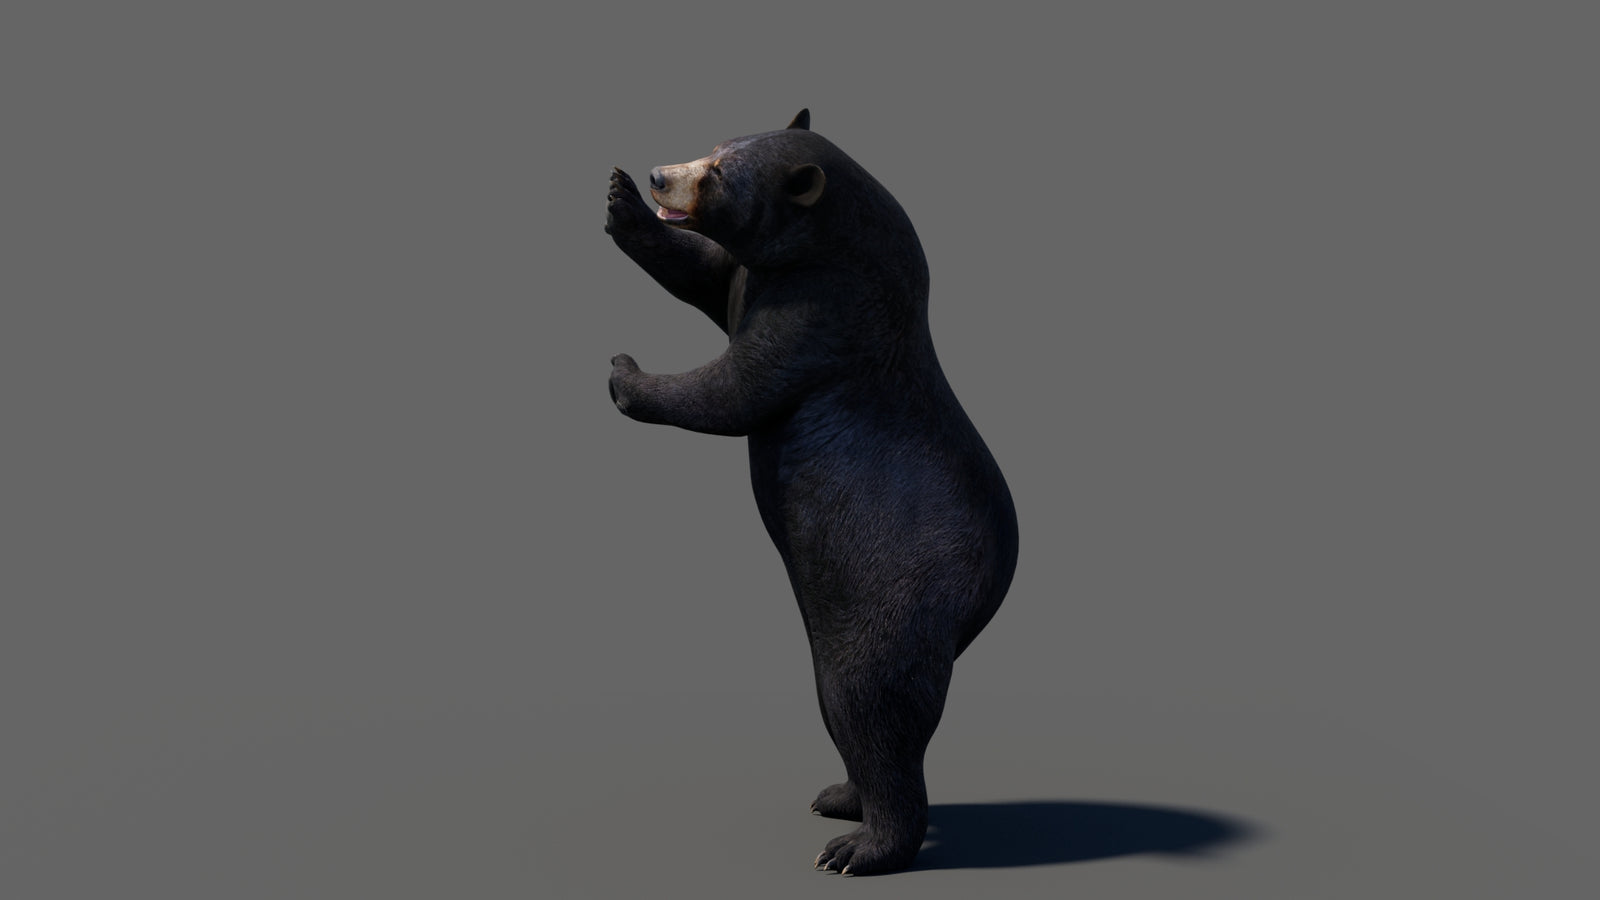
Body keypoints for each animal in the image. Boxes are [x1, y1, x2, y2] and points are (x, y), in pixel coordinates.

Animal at [604, 109, 1018, 875]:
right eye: (713, 145)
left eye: (719, 174)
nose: (657, 175)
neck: (832, 248)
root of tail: (985, 598)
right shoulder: (769, 278)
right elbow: (709, 276)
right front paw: (621, 203)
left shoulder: (826, 314)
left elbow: (735, 390)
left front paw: (625, 372)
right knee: (845, 711)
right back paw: (841, 796)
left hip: (894, 599)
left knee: (871, 704)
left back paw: (861, 847)